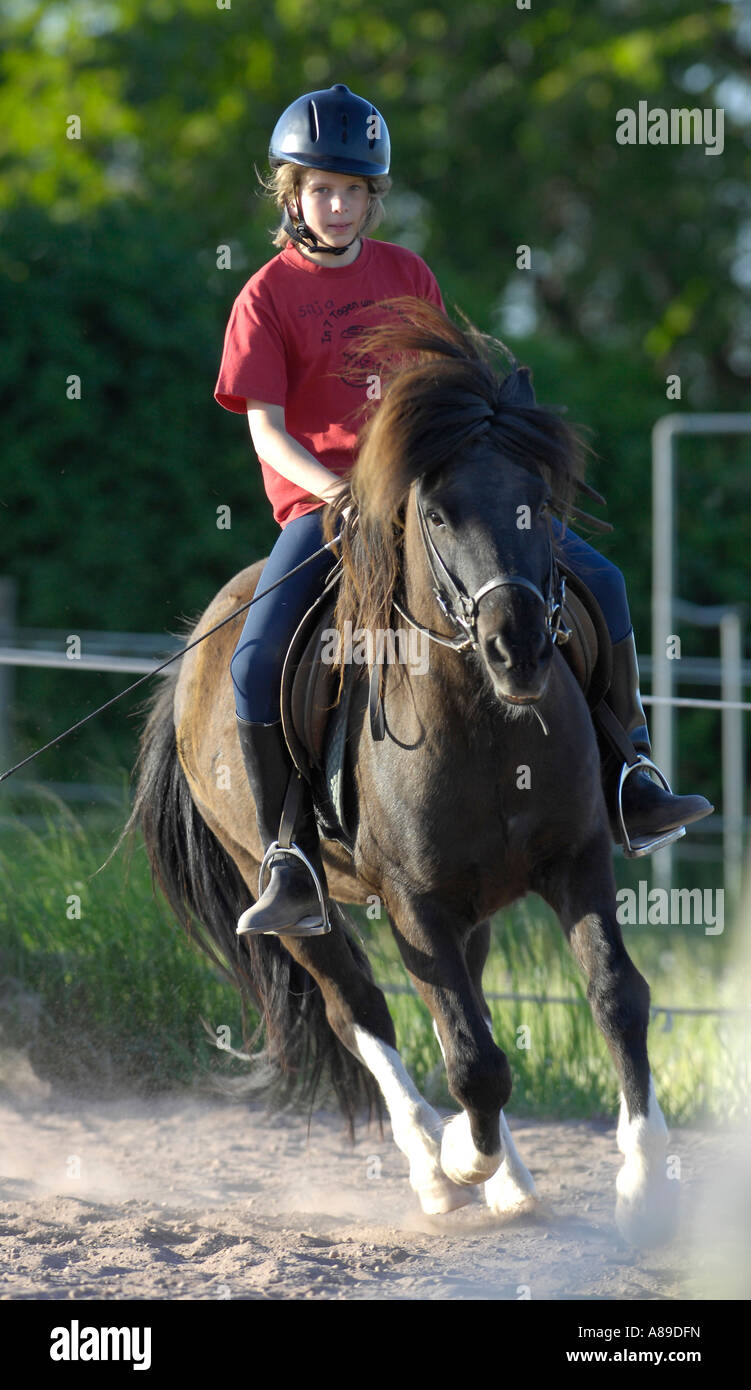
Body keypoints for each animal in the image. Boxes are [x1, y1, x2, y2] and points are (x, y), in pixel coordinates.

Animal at [132, 298, 678, 1245]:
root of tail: (195, 648)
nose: (517, 649)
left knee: (463, 1010)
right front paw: (462, 1159)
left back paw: (508, 1181)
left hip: (474, 903)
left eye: (538, 505)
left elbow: (614, 997)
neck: (486, 728)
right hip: (293, 901)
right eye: (438, 513)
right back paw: (437, 1170)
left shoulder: (575, 859)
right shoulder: (413, 904)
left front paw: (643, 1184)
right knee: (364, 1012)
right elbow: (471, 1058)